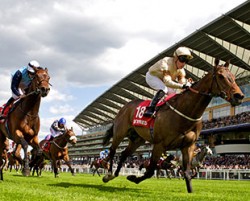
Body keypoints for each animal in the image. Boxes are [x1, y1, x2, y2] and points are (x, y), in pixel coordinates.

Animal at [101, 59, 244, 193]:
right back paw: (108, 174)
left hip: (137, 139)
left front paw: (191, 191)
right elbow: (150, 170)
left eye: (233, 76)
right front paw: (133, 177)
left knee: (124, 154)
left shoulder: (188, 146)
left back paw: (114, 174)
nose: (239, 96)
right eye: (221, 76)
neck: (185, 111)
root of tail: (124, 106)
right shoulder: (159, 144)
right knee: (113, 151)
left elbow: (187, 173)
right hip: (120, 132)